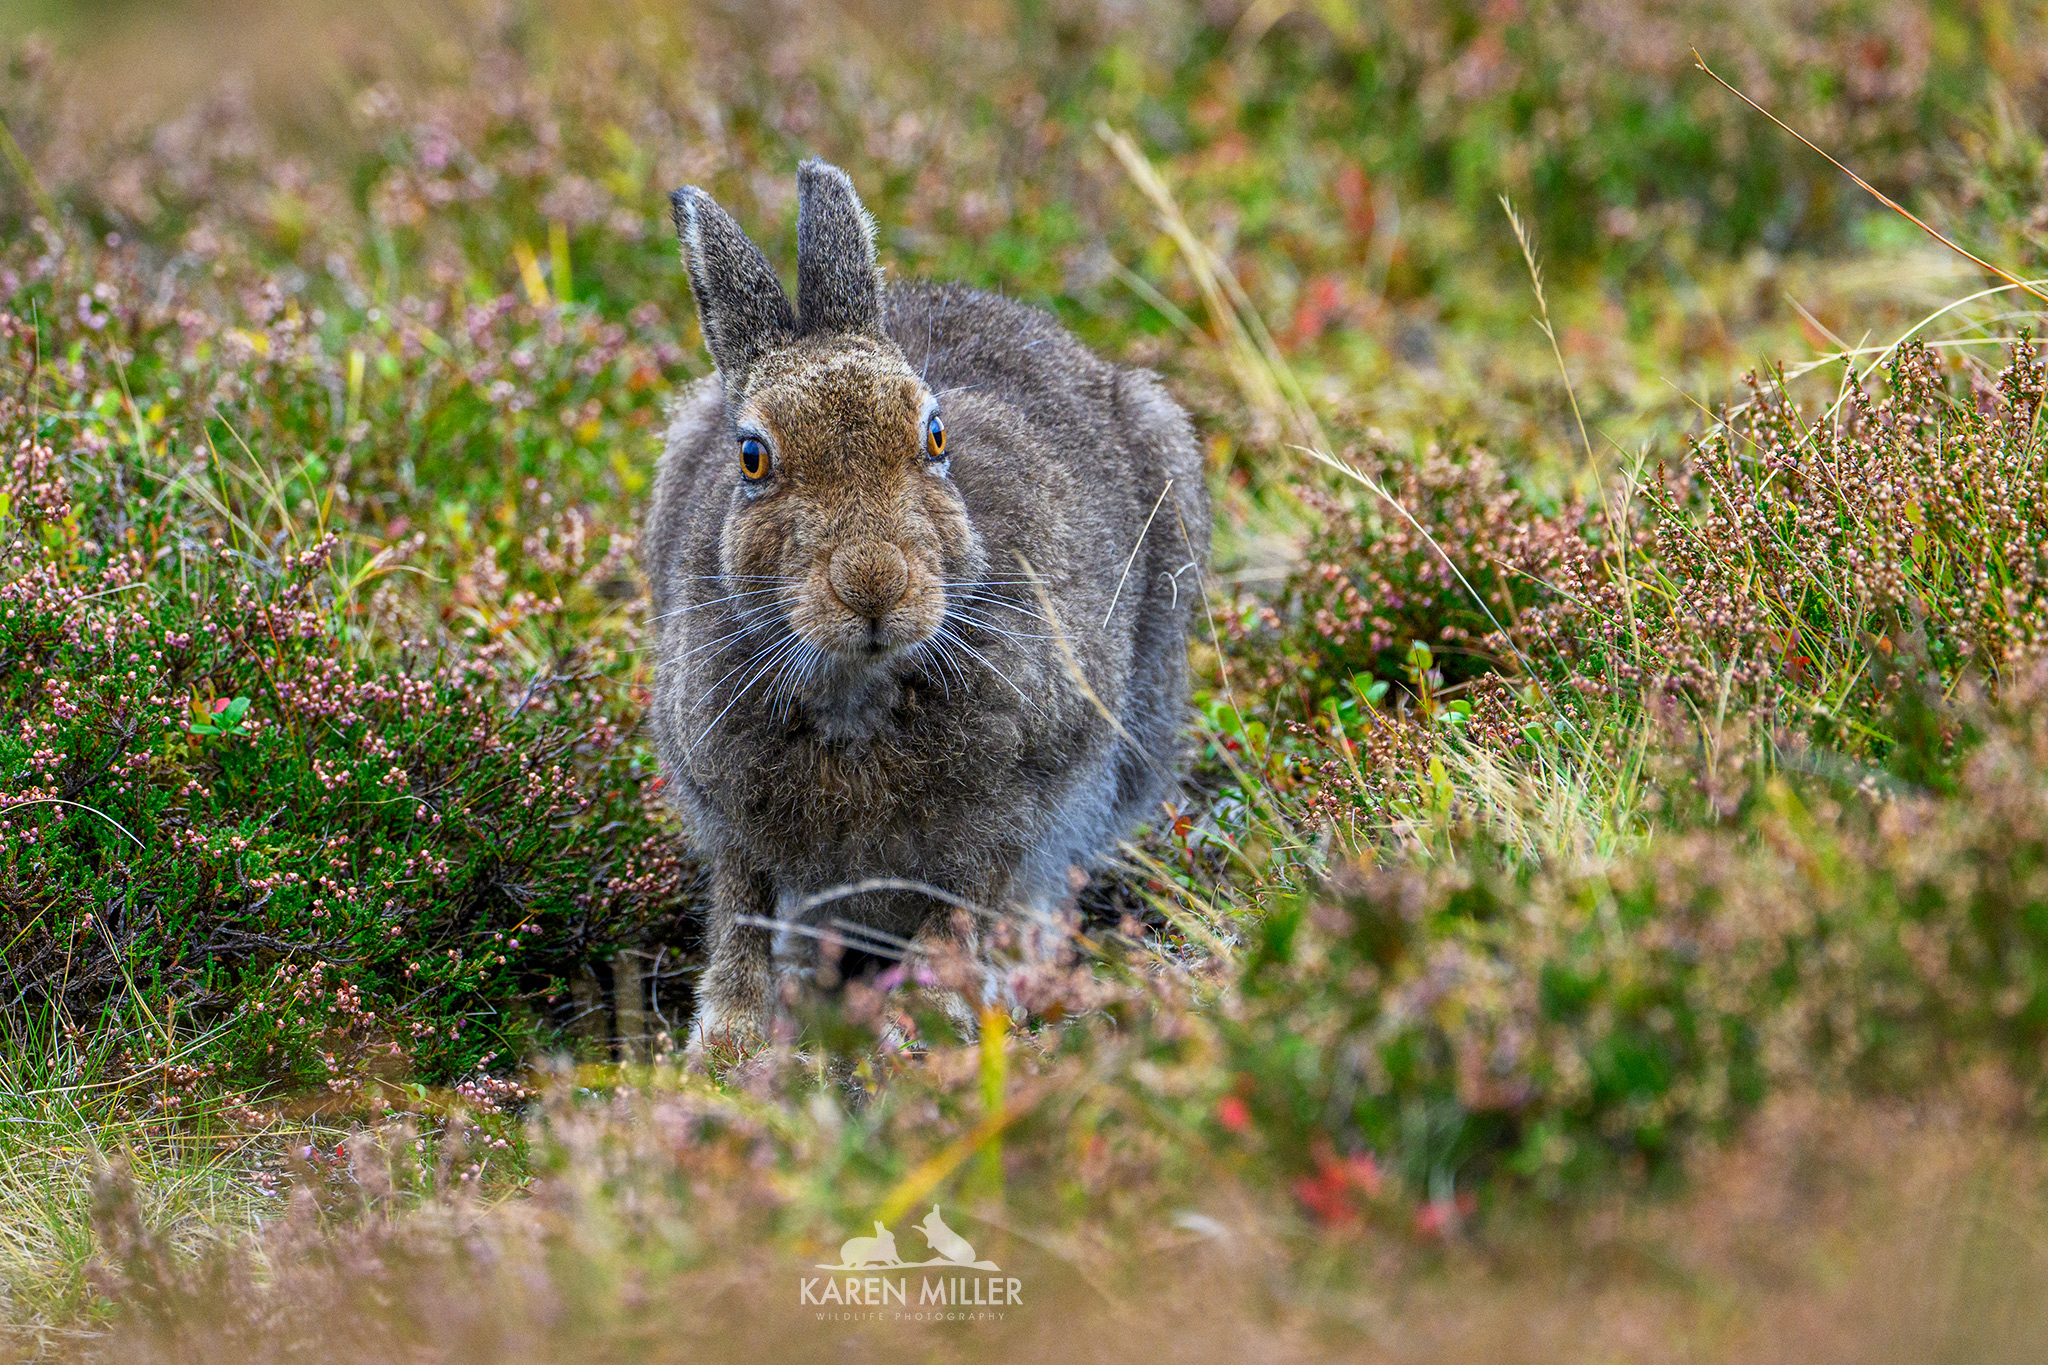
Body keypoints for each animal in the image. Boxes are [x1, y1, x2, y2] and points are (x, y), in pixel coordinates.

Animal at [643, 157, 1209, 1051]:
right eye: (752, 456)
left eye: (935, 437)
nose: (875, 583)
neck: (856, 690)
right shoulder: (733, 823)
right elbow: (742, 920)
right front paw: (730, 1045)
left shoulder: (1009, 813)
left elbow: (963, 909)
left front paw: (935, 1021)